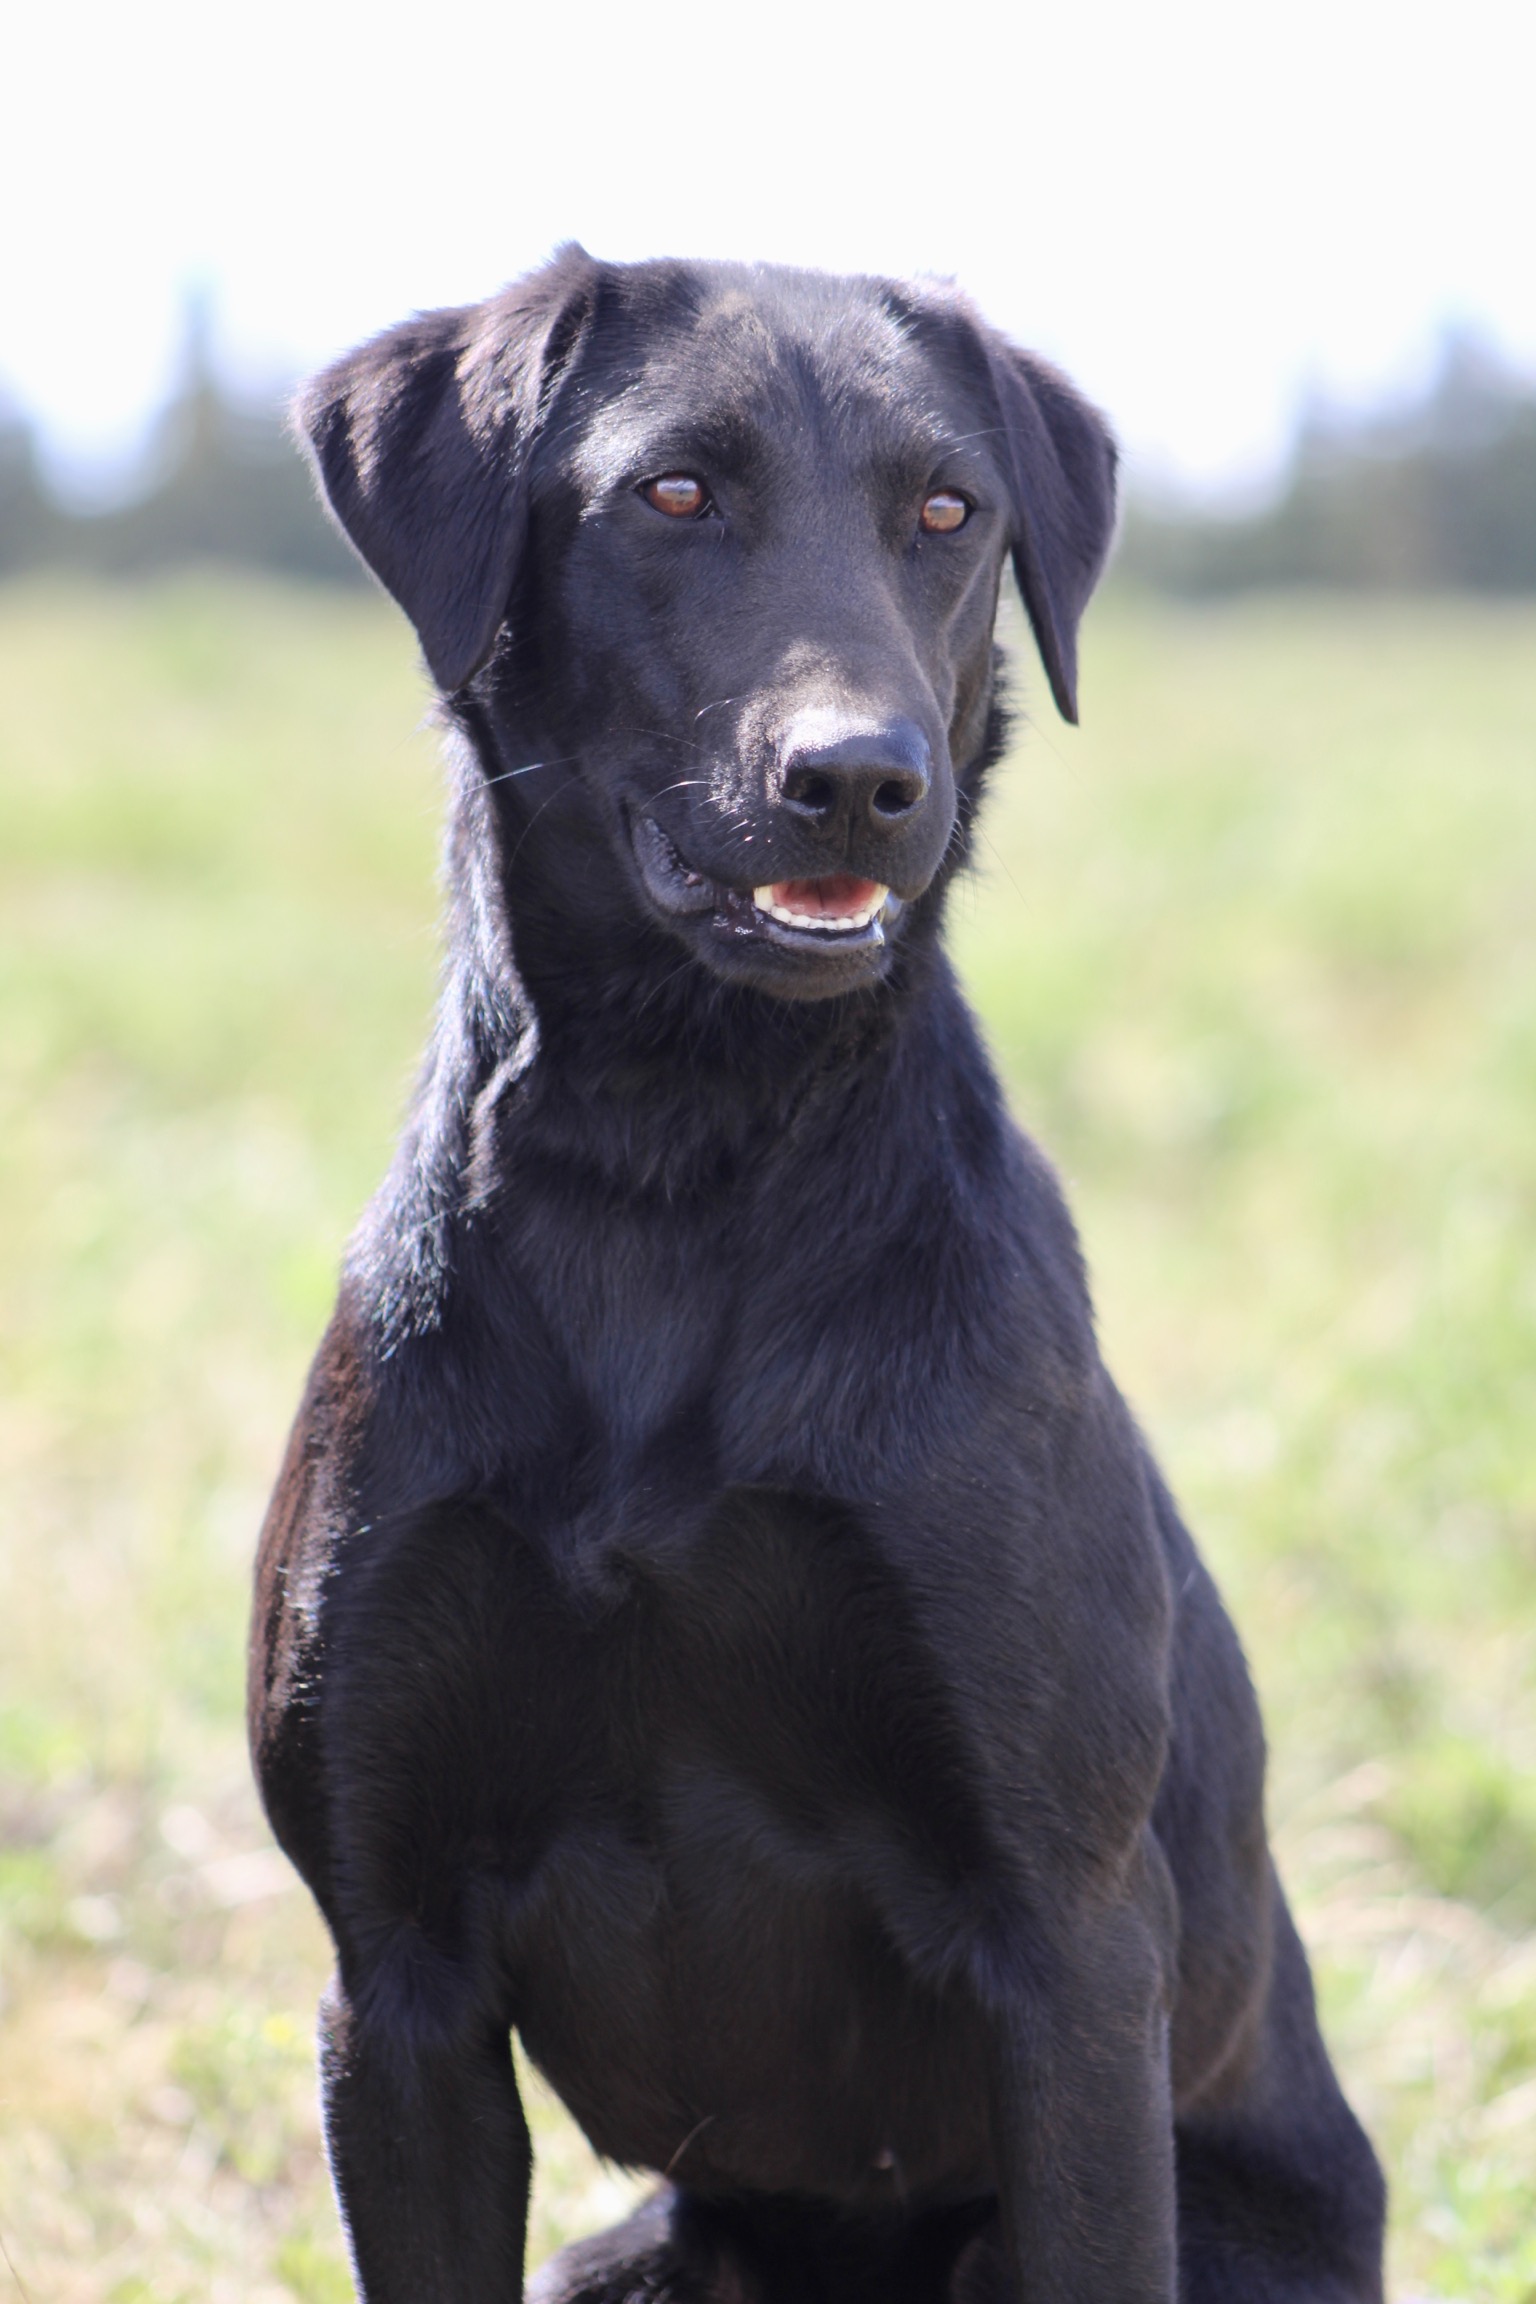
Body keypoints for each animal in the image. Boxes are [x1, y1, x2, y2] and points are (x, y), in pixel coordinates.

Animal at [249, 252, 1381, 2304]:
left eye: (948, 512)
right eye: (674, 492)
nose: (859, 780)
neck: (678, 1157)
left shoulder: (1068, 1939)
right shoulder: (395, 1977)